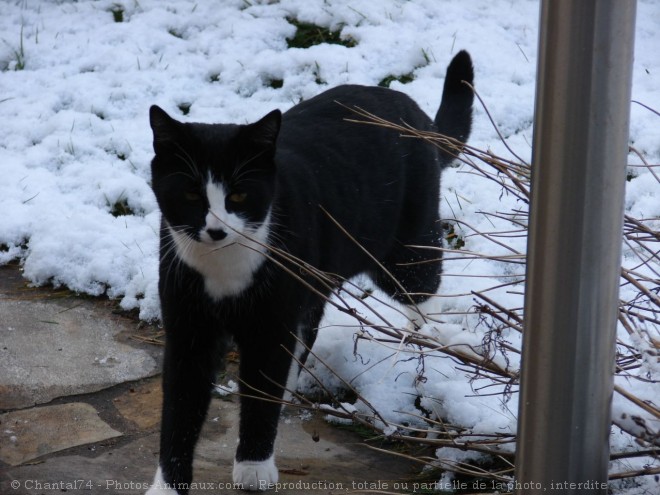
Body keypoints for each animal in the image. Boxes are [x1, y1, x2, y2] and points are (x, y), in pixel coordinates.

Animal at [146, 49, 472, 492]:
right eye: (192, 194)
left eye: (239, 195)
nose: (216, 229)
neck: (224, 269)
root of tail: (411, 108)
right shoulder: (188, 327)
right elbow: (180, 410)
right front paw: (167, 485)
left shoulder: (270, 324)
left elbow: (261, 393)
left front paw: (253, 467)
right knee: (308, 325)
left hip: (406, 246)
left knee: (423, 291)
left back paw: (431, 345)